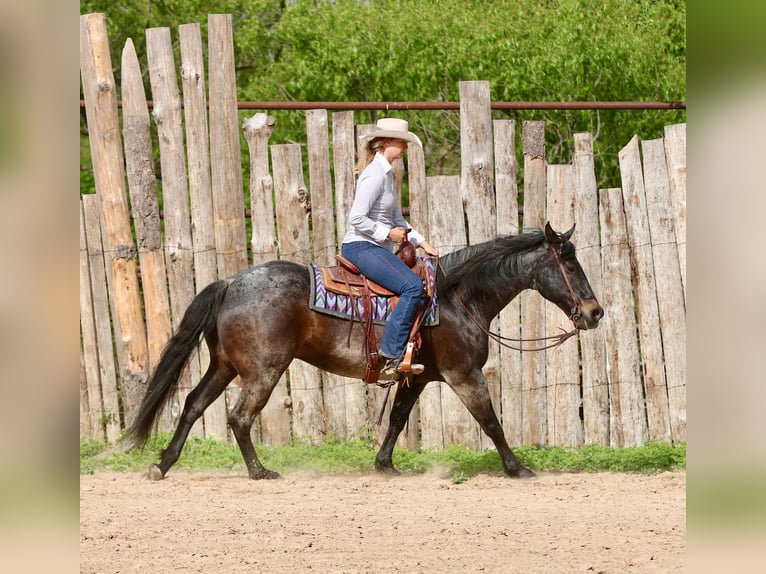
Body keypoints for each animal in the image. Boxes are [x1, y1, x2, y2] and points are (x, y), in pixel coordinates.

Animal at [125, 222, 603, 480]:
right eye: (570, 263)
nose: (594, 312)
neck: (455, 297)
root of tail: (230, 283)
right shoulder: (464, 375)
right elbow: (490, 421)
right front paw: (517, 468)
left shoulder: (418, 377)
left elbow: (397, 419)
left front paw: (384, 464)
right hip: (263, 370)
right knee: (239, 417)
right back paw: (259, 471)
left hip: (224, 366)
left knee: (192, 405)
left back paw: (163, 464)